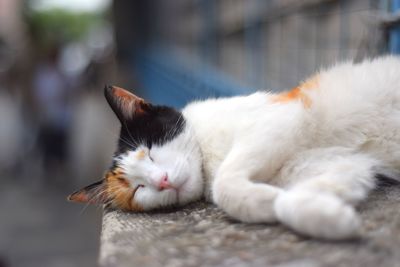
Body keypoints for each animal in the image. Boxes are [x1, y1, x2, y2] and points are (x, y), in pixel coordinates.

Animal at [69, 56, 400, 241]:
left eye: (150, 149)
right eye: (138, 189)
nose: (160, 181)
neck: (208, 157)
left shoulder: (281, 116)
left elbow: (224, 185)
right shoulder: (339, 162)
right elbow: (306, 191)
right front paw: (324, 217)